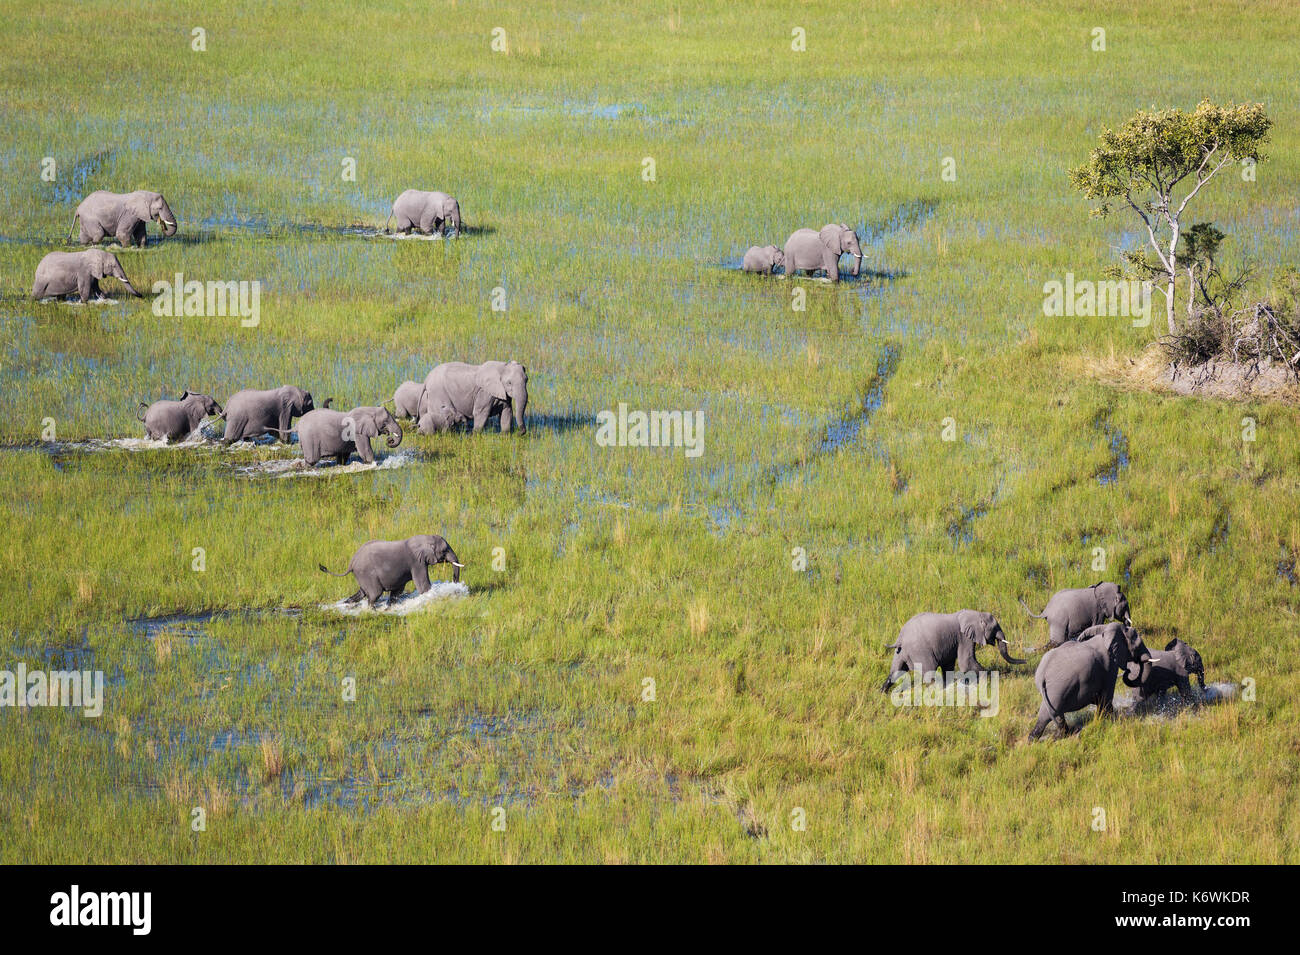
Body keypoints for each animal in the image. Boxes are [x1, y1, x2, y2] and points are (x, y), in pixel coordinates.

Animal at [319, 535, 467, 608]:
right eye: (445, 550)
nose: (454, 582)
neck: (424, 539)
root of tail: (351, 563)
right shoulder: (417, 563)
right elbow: (423, 586)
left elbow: (397, 591)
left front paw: (389, 607)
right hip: (367, 573)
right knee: (374, 594)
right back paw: (372, 610)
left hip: (362, 575)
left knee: (361, 593)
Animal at [883, 613, 1024, 696]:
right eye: (995, 628)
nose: (1025, 660)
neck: (976, 614)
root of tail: (900, 638)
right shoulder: (964, 637)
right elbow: (965, 662)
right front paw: (987, 680)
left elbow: (949, 665)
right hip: (919, 650)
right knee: (930, 672)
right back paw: (938, 692)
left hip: (900, 652)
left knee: (895, 672)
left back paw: (882, 693)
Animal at [1024, 621, 1159, 738]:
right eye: (1137, 645)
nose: (1129, 670)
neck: (1106, 633)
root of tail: (1043, 675)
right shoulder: (1109, 666)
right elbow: (1107, 695)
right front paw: (1107, 720)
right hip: (1058, 688)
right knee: (1053, 713)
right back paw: (1065, 734)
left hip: (1050, 691)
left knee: (1046, 714)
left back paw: (1035, 738)